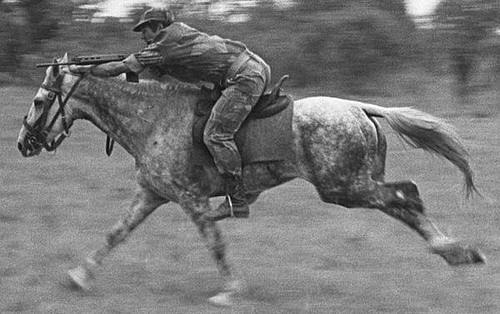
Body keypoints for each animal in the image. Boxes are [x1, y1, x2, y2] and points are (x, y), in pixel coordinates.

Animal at [17, 55, 482, 306]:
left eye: (39, 101)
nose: (23, 143)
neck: (152, 118)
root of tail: (359, 107)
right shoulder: (151, 194)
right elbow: (116, 233)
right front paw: (79, 276)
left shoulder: (191, 200)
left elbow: (215, 243)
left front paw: (230, 291)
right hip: (353, 184)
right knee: (405, 200)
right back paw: (454, 252)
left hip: (345, 187)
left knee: (408, 195)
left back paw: (455, 250)